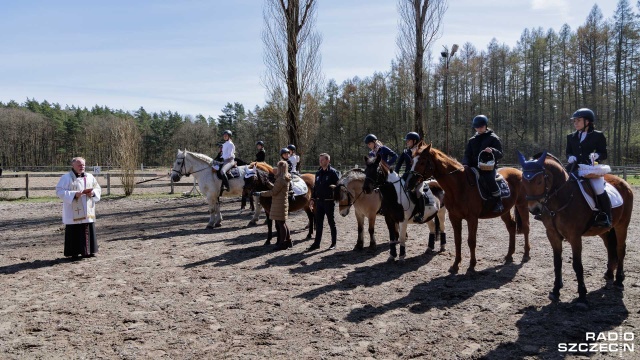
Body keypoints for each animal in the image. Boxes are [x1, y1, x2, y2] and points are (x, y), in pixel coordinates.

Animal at [408, 143, 532, 272]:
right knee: (511, 226)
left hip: (522, 205)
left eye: (422, 161)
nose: (409, 182)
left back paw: (526, 254)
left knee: (526, 227)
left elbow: (471, 241)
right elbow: (457, 240)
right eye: (412, 161)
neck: (460, 185)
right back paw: (509, 255)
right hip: (505, 211)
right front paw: (455, 265)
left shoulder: (472, 218)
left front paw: (472, 265)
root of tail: (519, 172)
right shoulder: (454, 217)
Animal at [516, 150, 632, 308]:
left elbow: (578, 265)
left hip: (622, 225)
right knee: (610, 246)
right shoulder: (552, 234)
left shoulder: (574, 237)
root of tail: (624, 183)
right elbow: (557, 262)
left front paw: (582, 297)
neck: (560, 200)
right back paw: (609, 274)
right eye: (523, 181)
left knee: (620, 249)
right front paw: (555, 291)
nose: (534, 209)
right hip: (605, 230)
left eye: (539, 181)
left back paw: (619, 280)